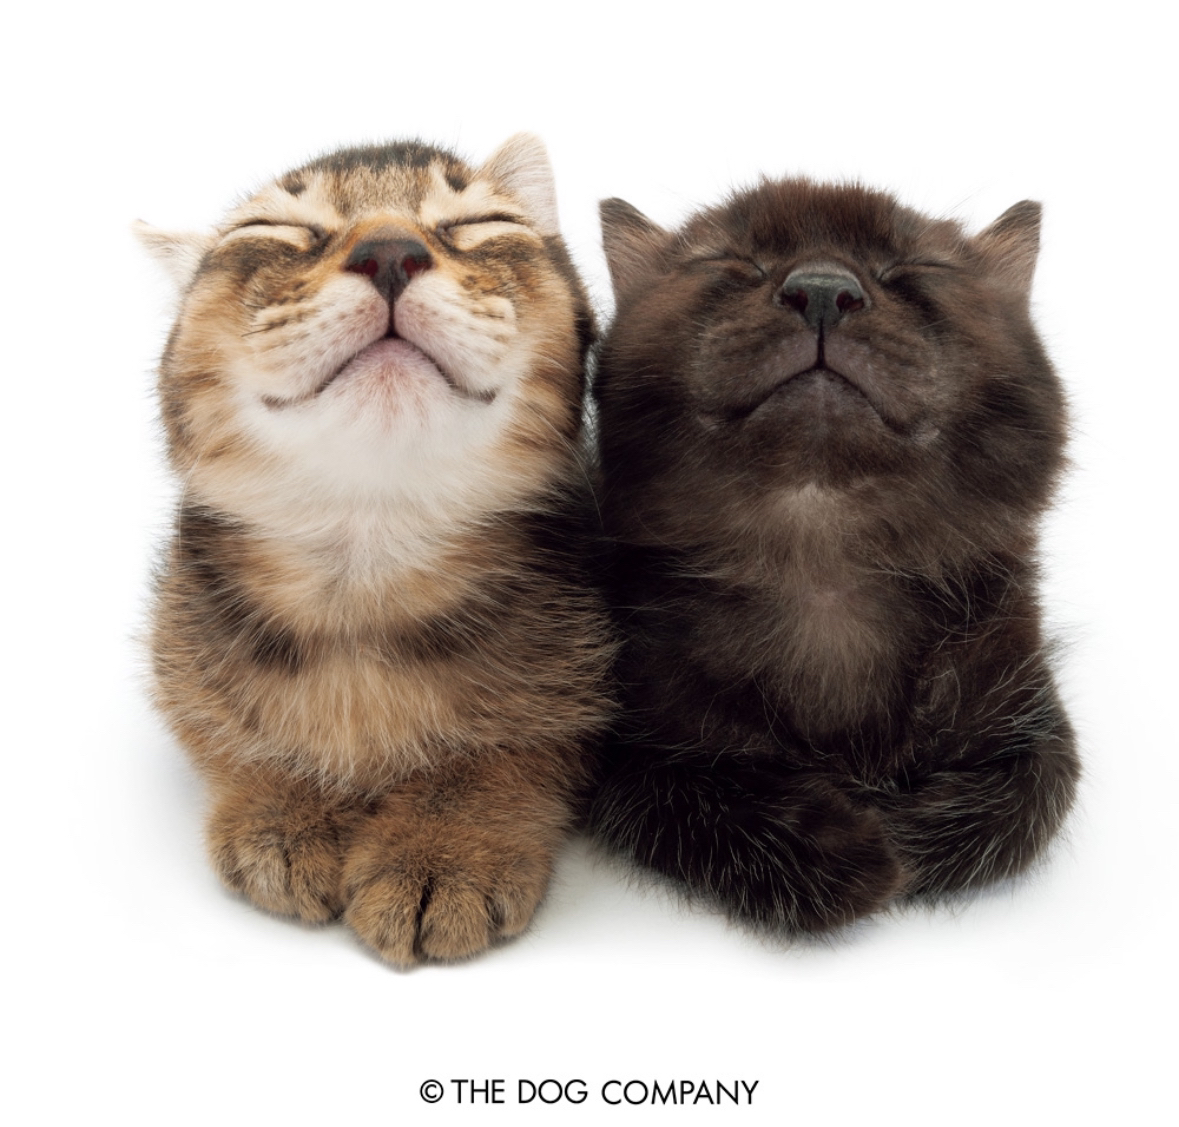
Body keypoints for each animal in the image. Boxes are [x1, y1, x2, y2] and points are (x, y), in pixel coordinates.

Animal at [139, 136, 617, 961]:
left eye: (479, 224)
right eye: (274, 232)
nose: (389, 250)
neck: (367, 558)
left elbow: (518, 747)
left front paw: (447, 839)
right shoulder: (179, 653)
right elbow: (221, 731)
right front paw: (284, 802)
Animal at [587, 178, 1079, 933]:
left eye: (915, 268)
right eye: (730, 262)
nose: (822, 289)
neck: (822, 567)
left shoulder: (1037, 716)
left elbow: (1026, 804)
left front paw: (903, 833)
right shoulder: (621, 742)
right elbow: (689, 791)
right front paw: (843, 852)